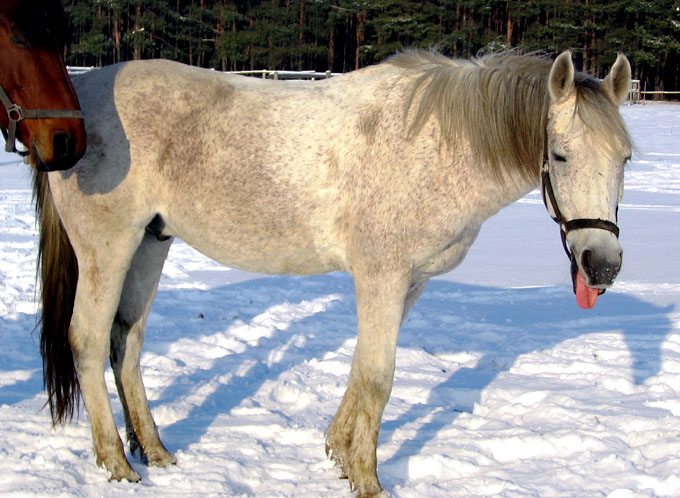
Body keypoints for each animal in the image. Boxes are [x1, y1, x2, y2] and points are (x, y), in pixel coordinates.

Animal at [35, 49, 632, 494]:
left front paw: (340, 453)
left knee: (127, 342)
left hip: (150, 244)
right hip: (108, 247)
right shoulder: (382, 277)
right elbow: (378, 377)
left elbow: (361, 368)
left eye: (624, 159)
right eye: (559, 155)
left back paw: (155, 451)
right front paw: (367, 480)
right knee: (88, 339)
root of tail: (77, 106)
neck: (435, 146)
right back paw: (116, 462)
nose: (601, 264)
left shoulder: (407, 282)